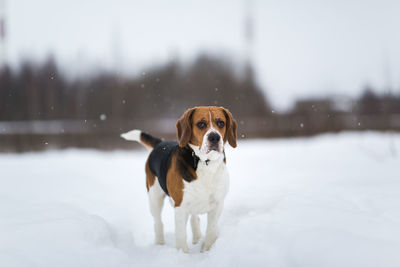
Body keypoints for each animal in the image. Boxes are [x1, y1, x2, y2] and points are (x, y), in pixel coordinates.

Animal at [120, 107, 236, 253]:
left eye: (221, 123)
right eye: (201, 124)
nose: (214, 137)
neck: (204, 163)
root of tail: (160, 143)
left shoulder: (218, 205)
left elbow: (211, 230)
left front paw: (206, 250)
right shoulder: (180, 206)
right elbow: (181, 235)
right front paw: (183, 254)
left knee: (194, 218)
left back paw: (197, 238)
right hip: (154, 198)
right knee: (158, 222)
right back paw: (159, 244)